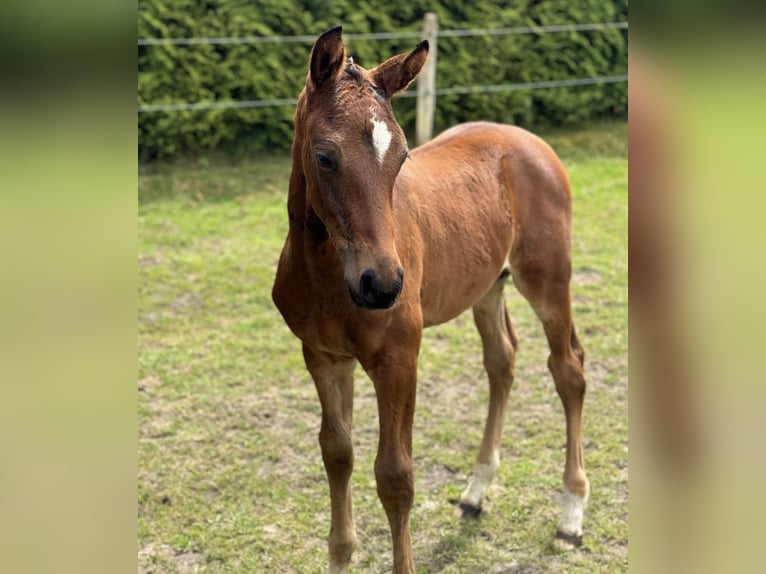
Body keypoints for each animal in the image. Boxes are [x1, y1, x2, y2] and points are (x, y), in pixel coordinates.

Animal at [272, 27, 592, 574]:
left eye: (402, 157)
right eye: (324, 156)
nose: (382, 284)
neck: (328, 275)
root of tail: (529, 141)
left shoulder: (399, 359)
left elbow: (396, 477)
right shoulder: (323, 355)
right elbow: (337, 452)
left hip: (547, 280)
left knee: (567, 368)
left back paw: (570, 514)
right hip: (488, 286)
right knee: (502, 361)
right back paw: (476, 491)